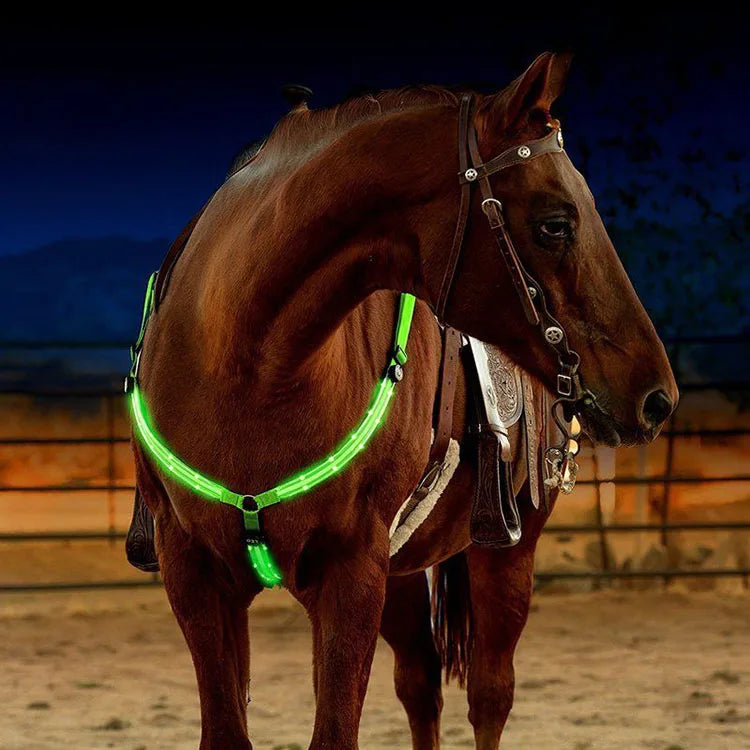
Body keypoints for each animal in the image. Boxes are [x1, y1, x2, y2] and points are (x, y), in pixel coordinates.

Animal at [130, 51, 678, 748]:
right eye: (556, 224)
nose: (657, 397)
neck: (247, 367)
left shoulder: (351, 574)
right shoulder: (196, 573)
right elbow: (230, 728)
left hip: (505, 551)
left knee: (490, 695)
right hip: (401, 575)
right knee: (421, 685)